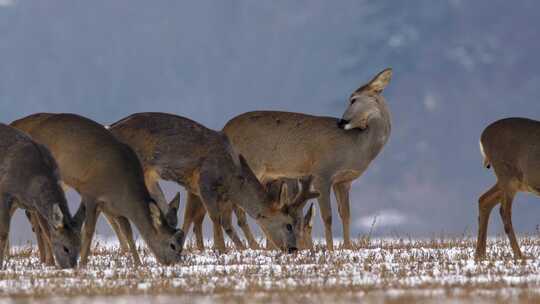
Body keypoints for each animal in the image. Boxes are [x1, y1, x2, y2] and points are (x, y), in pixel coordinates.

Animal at [0, 122, 83, 268]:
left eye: (79, 246)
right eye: (65, 248)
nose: (71, 267)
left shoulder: (34, 206)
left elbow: (45, 232)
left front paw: (50, 263)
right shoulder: (5, 191)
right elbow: (4, 231)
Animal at [11, 114, 185, 266]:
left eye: (181, 247)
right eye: (172, 245)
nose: (174, 263)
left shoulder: (114, 206)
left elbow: (127, 231)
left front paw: (138, 263)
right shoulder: (91, 193)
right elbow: (88, 231)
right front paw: (82, 263)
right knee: (40, 218)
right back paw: (50, 260)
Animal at [109, 111, 302, 252]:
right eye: (289, 225)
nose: (293, 249)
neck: (232, 180)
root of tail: (110, 128)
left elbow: (222, 221)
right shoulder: (204, 180)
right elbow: (215, 217)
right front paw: (220, 248)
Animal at [223, 68, 392, 249]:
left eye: (354, 99)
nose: (341, 122)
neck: (358, 145)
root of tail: (224, 129)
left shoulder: (344, 181)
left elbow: (346, 215)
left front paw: (348, 247)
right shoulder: (322, 173)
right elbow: (328, 216)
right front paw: (330, 249)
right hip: (251, 166)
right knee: (238, 209)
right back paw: (253, 246)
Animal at [474, 117, 540, 260]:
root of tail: (482, 136)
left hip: (511, 182)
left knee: (484, 199)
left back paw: (480, 255)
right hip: (507, 176)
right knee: (504, 211)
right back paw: (520, 255)